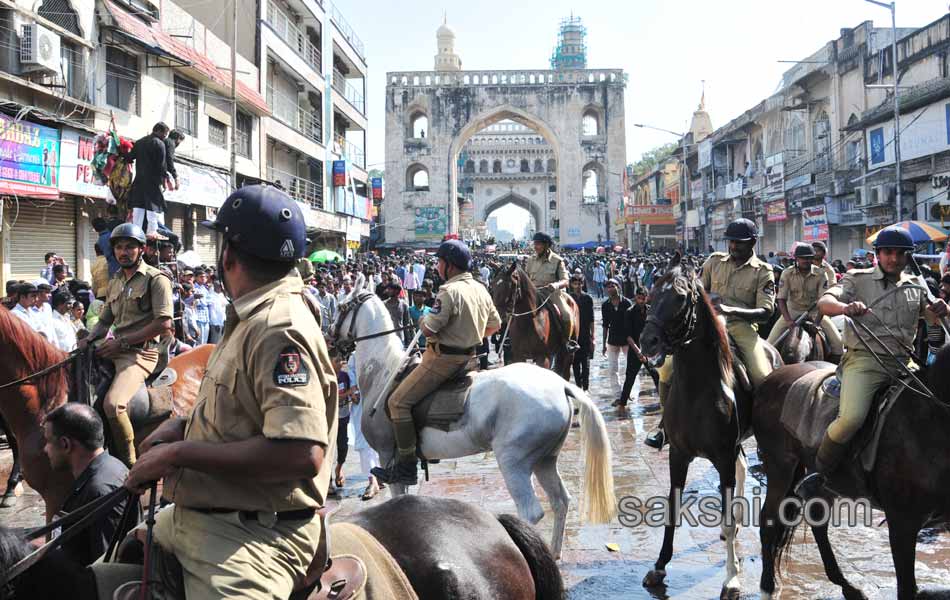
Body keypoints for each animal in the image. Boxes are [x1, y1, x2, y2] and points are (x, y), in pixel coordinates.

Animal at [332, 288, 616, 556]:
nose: (330, 339)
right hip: (545, 459)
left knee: (531, 512)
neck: (384, 372)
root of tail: (560, 385)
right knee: (560, 501)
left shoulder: (387, 455)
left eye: (342, 307)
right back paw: (555, 554)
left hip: (514, 460)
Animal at [640, 253, 760, 600]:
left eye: (680, 297)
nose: (647, 340)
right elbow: (671, 508)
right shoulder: (678, 454)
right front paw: (659, 566)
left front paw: (731, 578)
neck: (698, 389)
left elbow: (727, 519)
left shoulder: (722, 456)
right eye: (651, 293)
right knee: (743, 466)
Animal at [760, 350, 950, 596]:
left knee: (817, 521)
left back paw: (846, 586)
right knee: (768, 519)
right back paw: (768, 584)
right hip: (779, 467)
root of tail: (772, 377)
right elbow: (907, 588)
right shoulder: (902, 523)